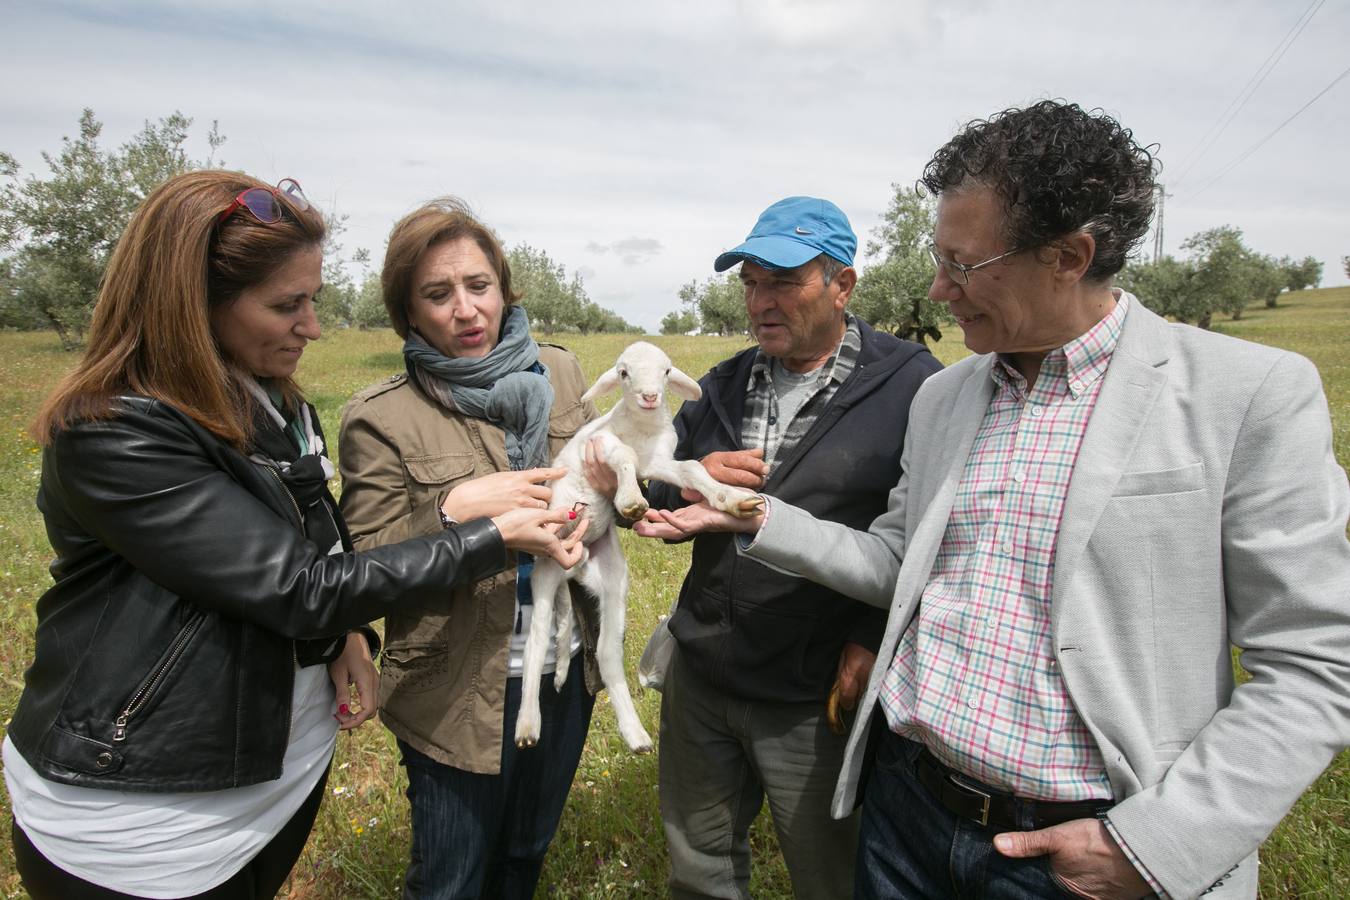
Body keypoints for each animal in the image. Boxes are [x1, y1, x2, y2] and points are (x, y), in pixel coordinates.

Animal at [515, 340, 766, 755]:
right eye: (623, 373)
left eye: (666, 371)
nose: (649, 397)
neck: (642, 430)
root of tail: (575, 566)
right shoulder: (605, 445)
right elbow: (624, 457)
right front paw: (631, 499)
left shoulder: (660, 462)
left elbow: (693, 468)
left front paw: (733, 499)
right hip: (546, 570)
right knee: (535, 645)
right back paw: (527, 726)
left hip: (613, 578)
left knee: (607, 654)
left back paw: (636, 736)